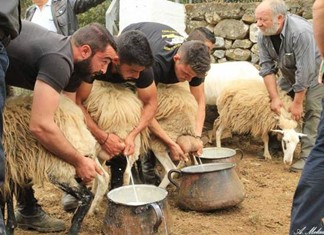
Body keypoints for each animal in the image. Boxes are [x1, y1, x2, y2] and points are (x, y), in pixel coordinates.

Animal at [1, 94, 109, 234]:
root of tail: (75, 113)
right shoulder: (10, 169)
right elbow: (7, 199)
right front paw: (10, 227)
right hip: (85, 153)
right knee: (103, 177)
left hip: (61, 165)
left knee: (86, 195)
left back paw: (73, 229)